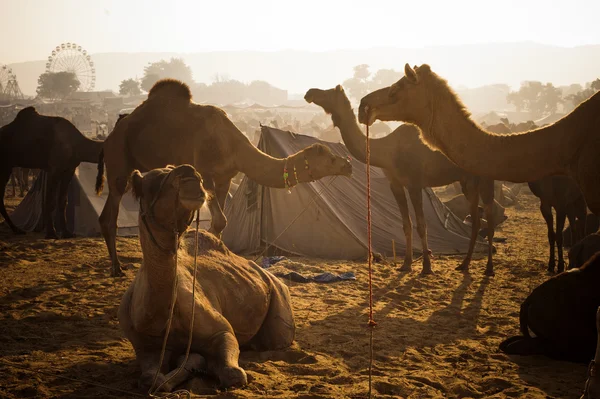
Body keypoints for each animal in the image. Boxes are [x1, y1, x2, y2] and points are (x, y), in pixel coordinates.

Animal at [0, 107, 103, 238]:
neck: (76, 143)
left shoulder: (69, 169)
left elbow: (62, 200)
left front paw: (66, 232)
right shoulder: (54, 169)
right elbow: (50, 200)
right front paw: (51, 233)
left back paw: (16, 229)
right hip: (5, 165)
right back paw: (17, 229)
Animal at [96, 78, 352, 278]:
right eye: (330, 159)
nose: (348, 165)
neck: (234, 145)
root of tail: (109, 136)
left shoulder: (225, 179)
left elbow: (219, 225)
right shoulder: (206, 174)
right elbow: (219, 222)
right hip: (118, 163)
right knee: (110, 213)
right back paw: (117, 268)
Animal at [118, 164, 296, 392]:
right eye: (154, 182)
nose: (190, 174)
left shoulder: (222, 332)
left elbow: (233, 372)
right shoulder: (145, 346)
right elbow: (150, 378)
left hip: (279, 298)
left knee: (276, 338)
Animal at [304, 85, 496, 276]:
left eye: (329, 91)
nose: (309, 92)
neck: (388, 151)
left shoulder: (415, 183)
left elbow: (421, 225)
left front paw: (426, 267)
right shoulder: (395, 184)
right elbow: (406, 224)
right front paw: (406, 264)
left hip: (486, 178)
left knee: (489, 218)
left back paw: (488, 269)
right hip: (468, 181)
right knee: (476, 220)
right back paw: (464, 264)